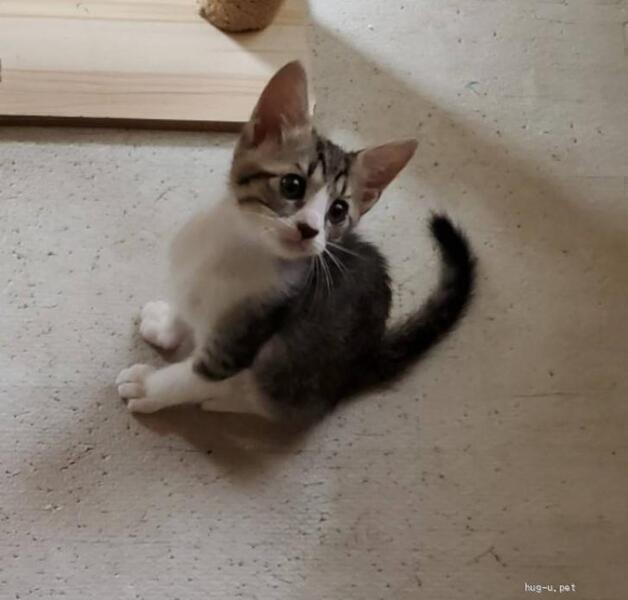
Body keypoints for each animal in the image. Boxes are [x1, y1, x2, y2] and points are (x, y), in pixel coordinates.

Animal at [116, 61, 476, 424]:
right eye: (292, 185)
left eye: (338, 211)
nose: (309, 229)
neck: (237, 249)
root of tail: (365, 358)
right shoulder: (189, 276)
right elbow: (184, 308)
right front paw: (165, 325)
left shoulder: (242, 340)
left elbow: (194, 377)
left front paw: (149, 387)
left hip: (290, 370)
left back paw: (228, 398)